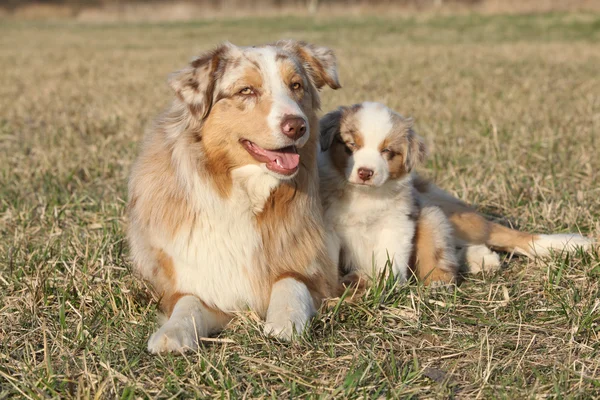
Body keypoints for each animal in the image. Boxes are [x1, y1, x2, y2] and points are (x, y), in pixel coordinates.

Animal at [318, 102, 460, 284]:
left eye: (386, 150)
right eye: (352, 145)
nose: (365, 172)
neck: (364, 195)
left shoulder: (396, 223)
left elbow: (391, 258)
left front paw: (388, 283)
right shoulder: (329, 226)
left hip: (431, 218)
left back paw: (438, 281)